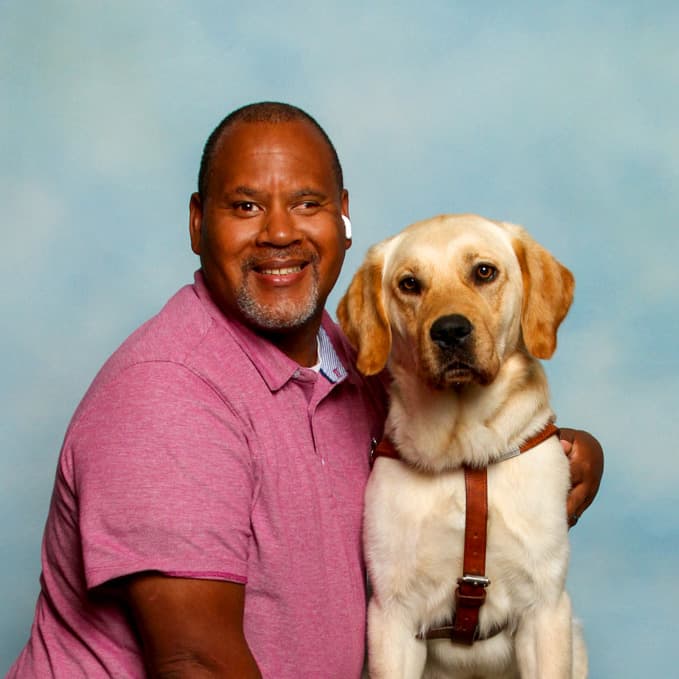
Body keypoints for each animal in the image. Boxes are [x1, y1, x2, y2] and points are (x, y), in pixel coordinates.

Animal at [338, 215, 588, 676]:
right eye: (410, 284)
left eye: (484, 272)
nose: (450, 331)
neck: (466, 455)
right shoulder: (392, 613)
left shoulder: (544, 607)